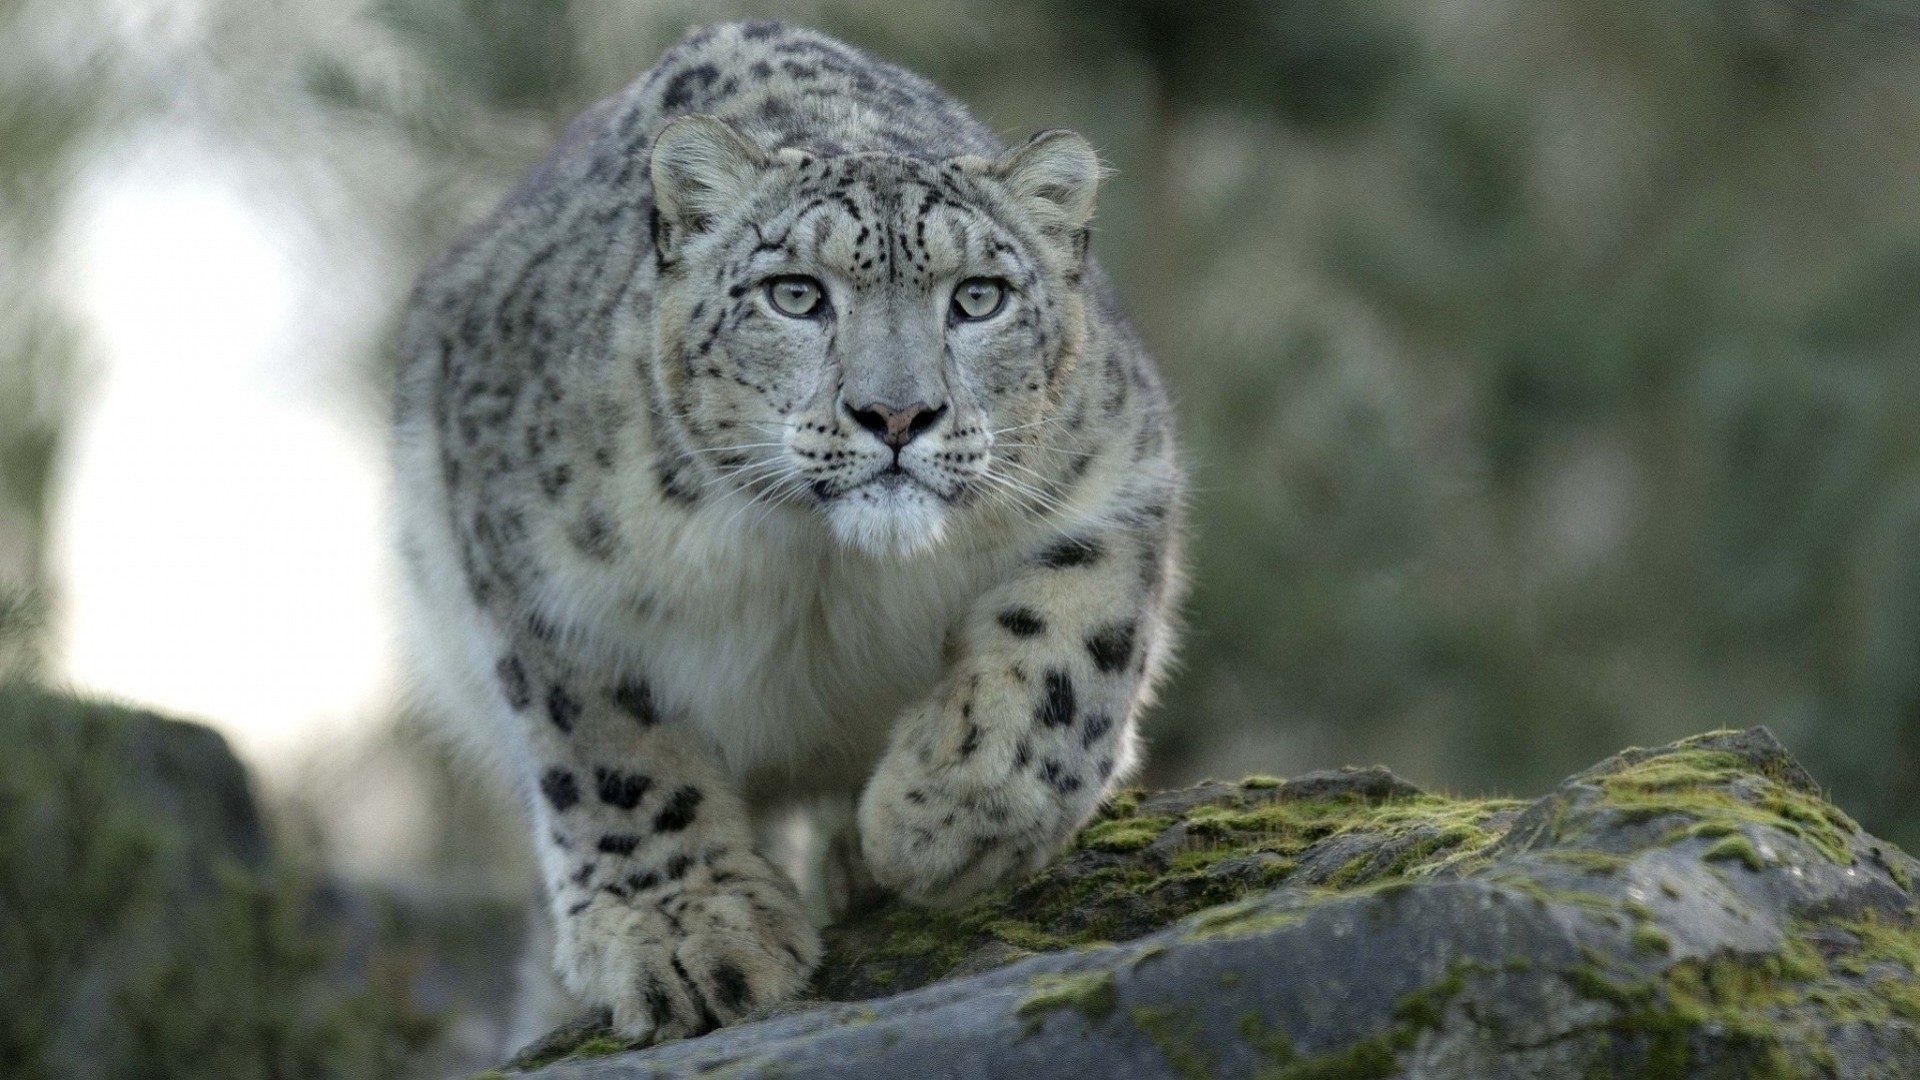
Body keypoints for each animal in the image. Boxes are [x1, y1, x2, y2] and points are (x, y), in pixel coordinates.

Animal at [390, 19, 1185, 1048]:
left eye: (978, 297)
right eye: (796, 294)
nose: (897, 414)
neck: (823, 568)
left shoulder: (1119, 475)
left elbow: (1066, 648)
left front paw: (943, 819)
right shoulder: (536, 574)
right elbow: (609, 752)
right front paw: (690, 937)